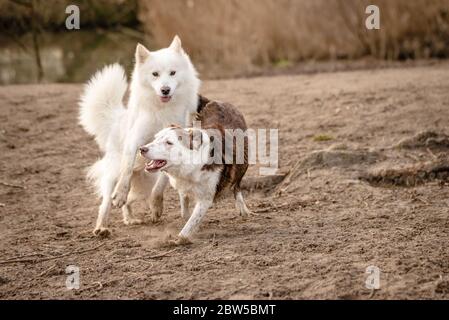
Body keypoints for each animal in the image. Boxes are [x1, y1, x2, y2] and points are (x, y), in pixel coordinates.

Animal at [138, 96, 250, 244]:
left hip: (243, 163)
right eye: (156, 138)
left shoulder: (206, 198)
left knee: (236, 185)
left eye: (169, 142)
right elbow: (183, 204)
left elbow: (191, 222)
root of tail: (217, 101)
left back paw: (242, 208)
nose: (142, 149)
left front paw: (179, 239)